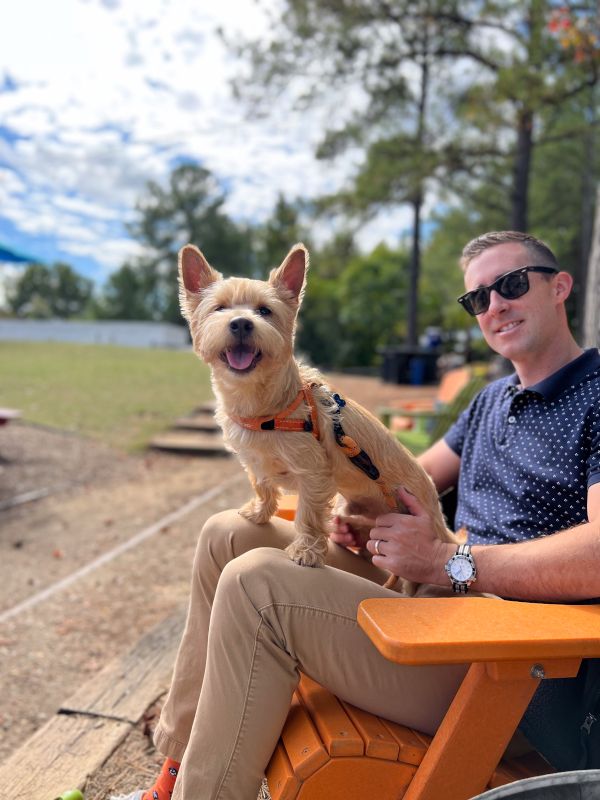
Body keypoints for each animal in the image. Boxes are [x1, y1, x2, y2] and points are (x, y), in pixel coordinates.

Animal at [176, 241, 458, 592]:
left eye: (265, 311)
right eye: (219, 308)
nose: (241, 323)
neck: (264, 403)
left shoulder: (313, 474)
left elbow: (308, 516)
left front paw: (306, 551)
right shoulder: (254, 462)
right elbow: (262, 485)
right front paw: (259, 512)